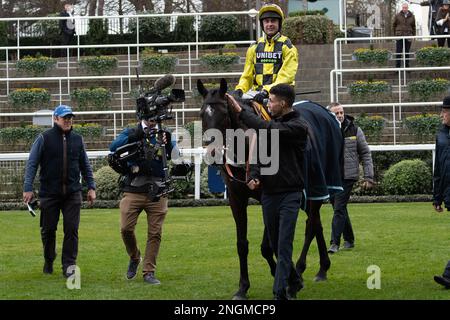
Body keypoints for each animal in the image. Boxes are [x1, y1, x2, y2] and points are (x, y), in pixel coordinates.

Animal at [196, 79, 342, 298]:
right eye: (202, 114)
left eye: (223, 114)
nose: (212, 153)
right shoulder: (236, 197)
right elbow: (242, 244)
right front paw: (243, 287)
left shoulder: (269, 195)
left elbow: (269, 244)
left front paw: (288, 279)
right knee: (316, 223)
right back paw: (322, 268)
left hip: (318, 184)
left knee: (310, 226)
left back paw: (302, 268)